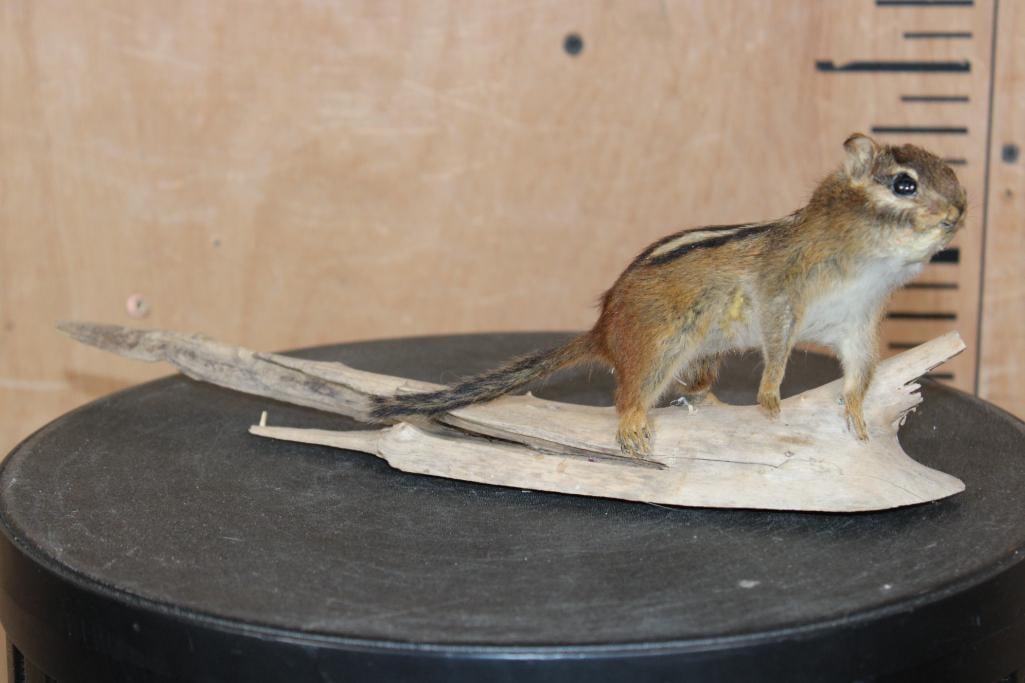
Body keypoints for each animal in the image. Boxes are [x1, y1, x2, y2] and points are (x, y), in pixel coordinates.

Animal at [372, 134, 966, 457]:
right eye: (905, 184)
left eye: (953, 174)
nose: (959, 212)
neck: (864, 262)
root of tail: (604, 330)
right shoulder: (782, 293)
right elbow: (777, 349)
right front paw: (771, 397)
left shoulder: (857, 322)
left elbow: (861, 369)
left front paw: (855, 410)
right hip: (661, 345)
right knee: (629, 393)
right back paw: (635, 423)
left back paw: (704, 397)